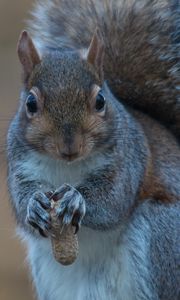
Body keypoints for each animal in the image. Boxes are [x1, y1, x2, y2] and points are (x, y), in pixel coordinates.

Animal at [6, 0, 179, 300]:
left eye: (100, 101)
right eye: (30, 103)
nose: (69, 146)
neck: (66, 167)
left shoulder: (127, 161)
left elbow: (113, 200)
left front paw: (77, 199)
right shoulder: (20, 164)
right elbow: (21, 200)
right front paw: (34, 205)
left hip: (160, 237)